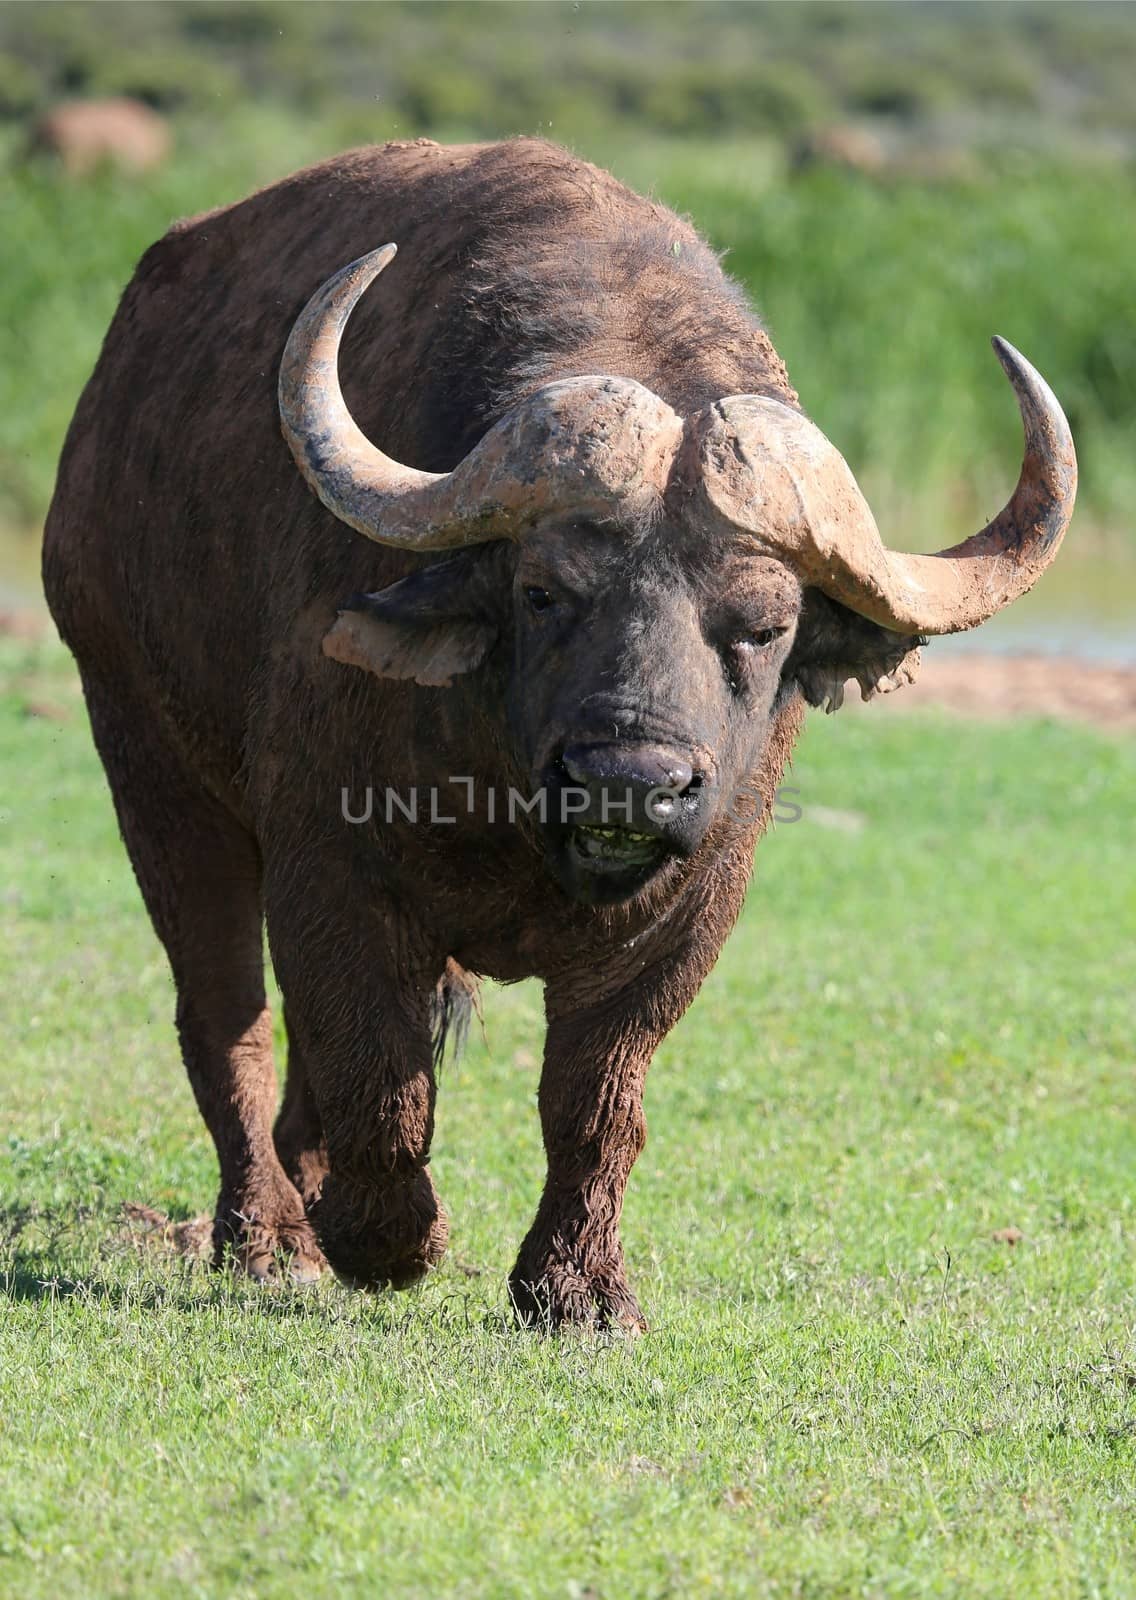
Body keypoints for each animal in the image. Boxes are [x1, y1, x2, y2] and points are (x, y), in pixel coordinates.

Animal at [42, 137, 1075, 1324]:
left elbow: (593, 1097)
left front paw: (577, 1289)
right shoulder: (328, 863)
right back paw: (268, 1234)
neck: (514, 803)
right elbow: (376, 1064)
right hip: (146, 758)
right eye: (542, 593)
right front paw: (386, 1240)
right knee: (228, 1018)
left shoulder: (688, 913)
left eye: (764, 625)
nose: (629, 780)